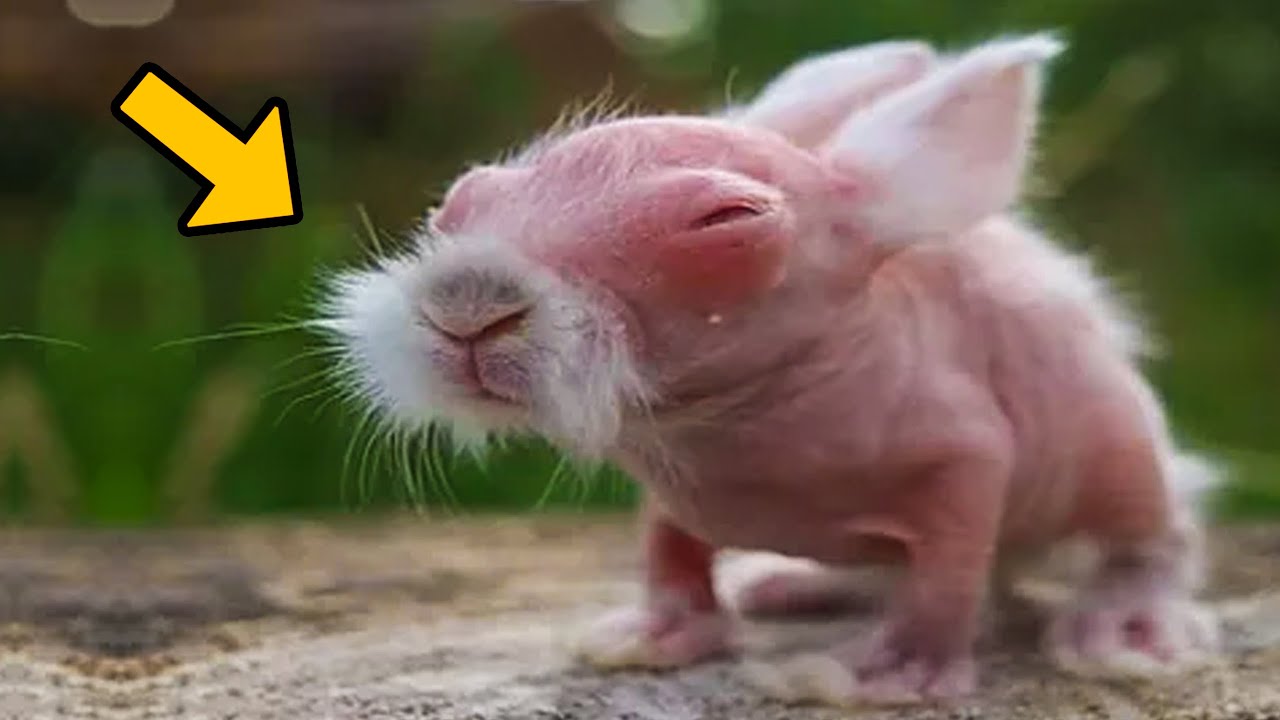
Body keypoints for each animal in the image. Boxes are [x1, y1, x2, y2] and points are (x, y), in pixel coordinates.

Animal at [322, 34, 1222, 705]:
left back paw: (1126, 633)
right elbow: (668, 556)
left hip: (1119, 452)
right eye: (463, 197)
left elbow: (946, 581)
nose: (467, 303)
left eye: (726, 220)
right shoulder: (674, 490)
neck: (740, 423)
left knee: (1149, 539)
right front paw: (647, 641)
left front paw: (875, 679)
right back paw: (786, 584)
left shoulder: (969, 458)